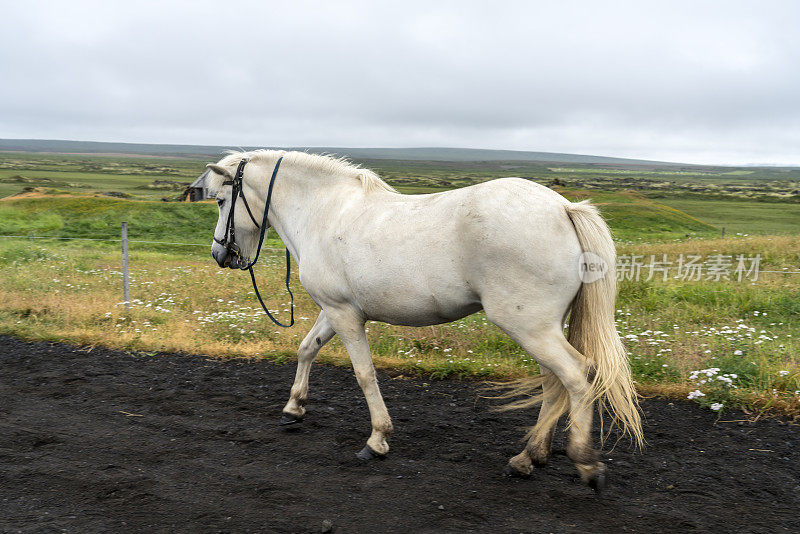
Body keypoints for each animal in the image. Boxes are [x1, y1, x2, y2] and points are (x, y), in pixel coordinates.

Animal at [208, 149, 644, 492]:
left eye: (221, 200)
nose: (220, 254)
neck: (325, 212)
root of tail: (564, 208)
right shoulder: (335, 310)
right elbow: (306, 349)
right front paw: (293, 408)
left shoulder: (345, 314)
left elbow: (364, 374)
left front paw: (377, 439)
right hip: (541, 329)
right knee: (555, 383)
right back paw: (528, 457)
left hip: (529, 328)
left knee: (577, 376)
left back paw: (584, 462)